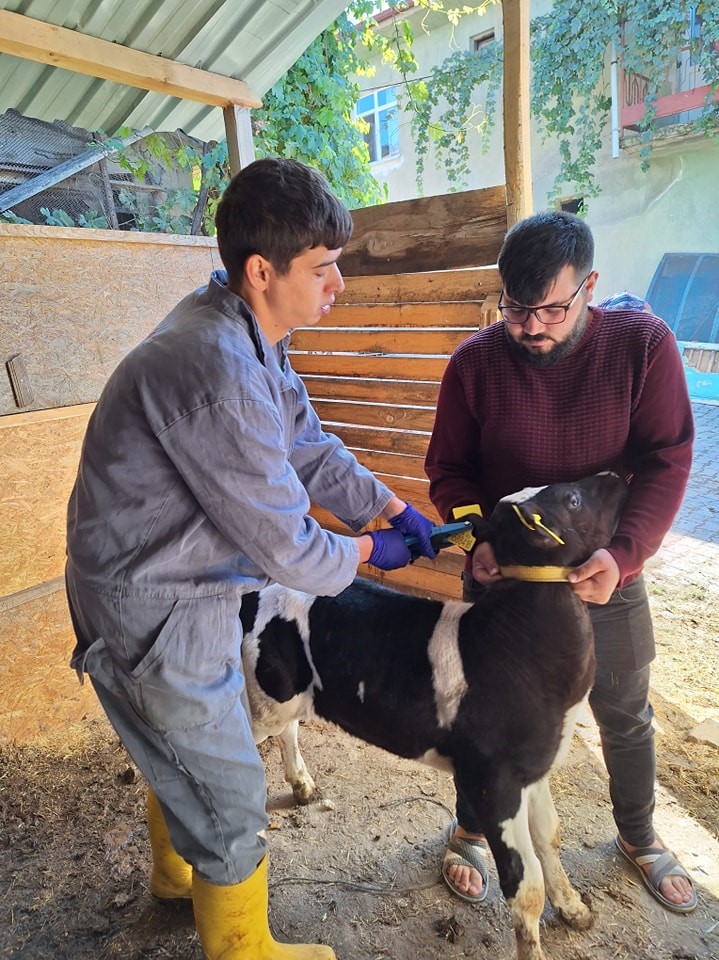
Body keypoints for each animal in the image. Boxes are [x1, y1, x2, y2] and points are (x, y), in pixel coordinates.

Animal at [239, 472, 628, 960]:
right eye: (573, 499)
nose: (615, 476)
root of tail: (259, 586)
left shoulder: (536, 763)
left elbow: (551, 838)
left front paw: (575, 909)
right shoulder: (493, 779)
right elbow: (526, 886)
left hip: (284, 695)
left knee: (288, 730)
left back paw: (303, 786)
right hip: (259, 699)